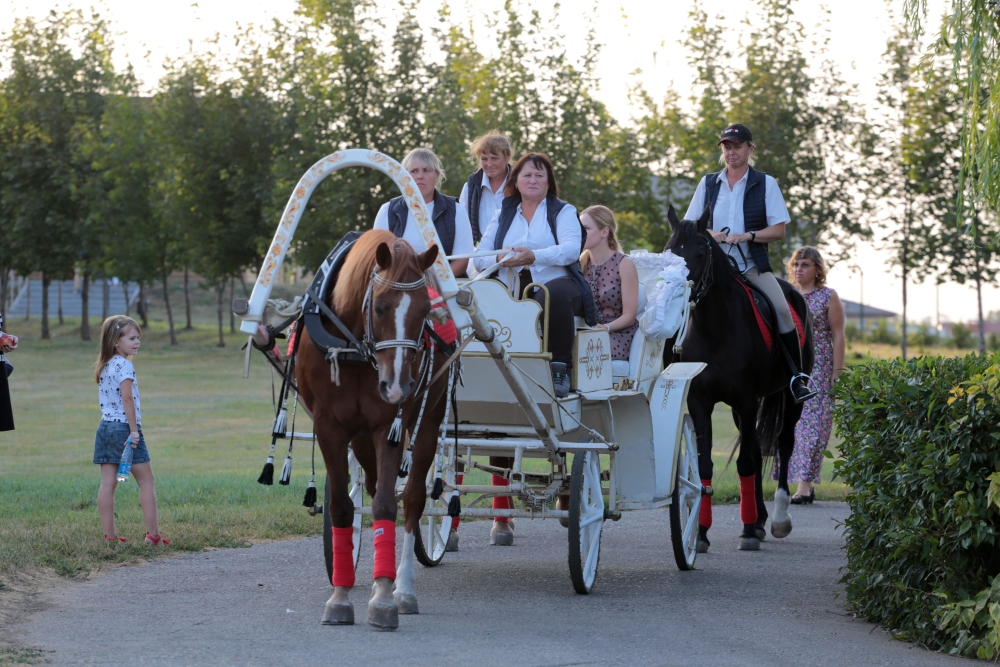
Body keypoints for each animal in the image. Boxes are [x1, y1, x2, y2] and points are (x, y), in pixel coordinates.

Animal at [296, 229, 451, 630]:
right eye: (379, 306)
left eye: (424, 311)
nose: (398, 386)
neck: (352, 348)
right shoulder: (330, 426)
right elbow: (341, 507)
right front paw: (340, 595)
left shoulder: (388, 425)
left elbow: (385, 504)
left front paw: (383, 597)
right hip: (361, 437)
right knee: (369, 484)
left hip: (428, 421)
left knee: (412, 498)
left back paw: (403, 587)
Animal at [664, 205, 814, 552]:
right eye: (670, 249)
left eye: (700, 250)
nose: (679, 291)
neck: (715, 327)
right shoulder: (702, 402)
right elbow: (706, 464)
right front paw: (702, 533)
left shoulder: (746, 399)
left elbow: (745, 462)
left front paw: (745, 532)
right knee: (757, 450)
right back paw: (758, 521)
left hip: (789, 399)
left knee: (784, 444)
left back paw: (778, 519)